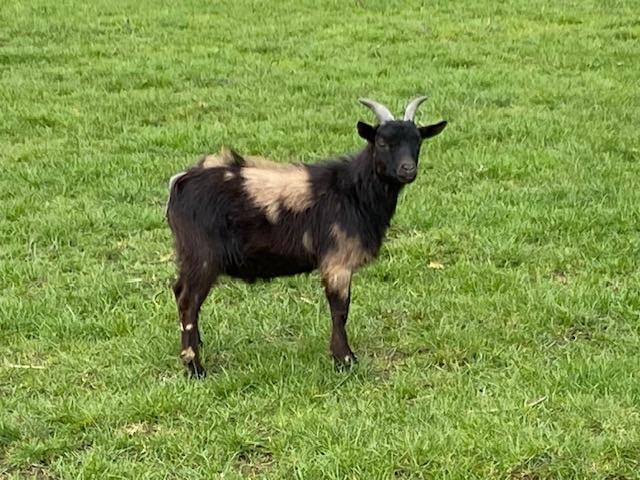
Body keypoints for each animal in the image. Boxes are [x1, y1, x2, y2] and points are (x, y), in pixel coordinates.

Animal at [166, 96, 447, 377]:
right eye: (382, 142)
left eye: (418, 141)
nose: (408, 169)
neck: (352, 192)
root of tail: (180, 183)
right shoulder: (337, 260)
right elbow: (340, 310)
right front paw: (345, 360)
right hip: (202, 255)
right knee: (188, 301)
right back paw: (195, 367)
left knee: (180, 292)